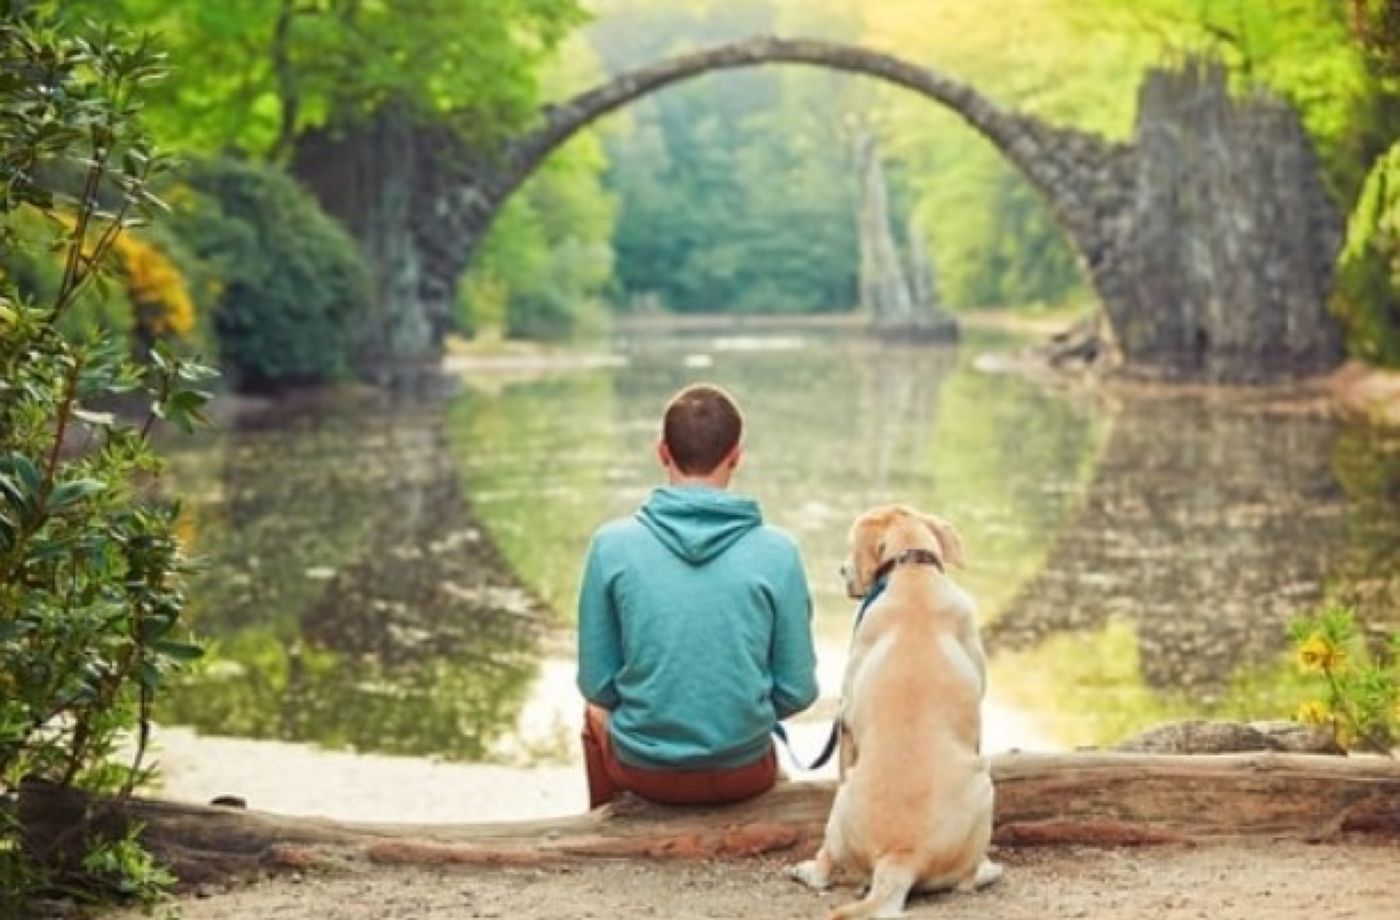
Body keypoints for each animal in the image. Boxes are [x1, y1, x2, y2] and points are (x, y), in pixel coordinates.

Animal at [795, 506, 1002, 912]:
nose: (840, 572)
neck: (913, 572)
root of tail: (901, 858)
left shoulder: (845, 722)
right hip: (983, 782)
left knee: (826, 865)